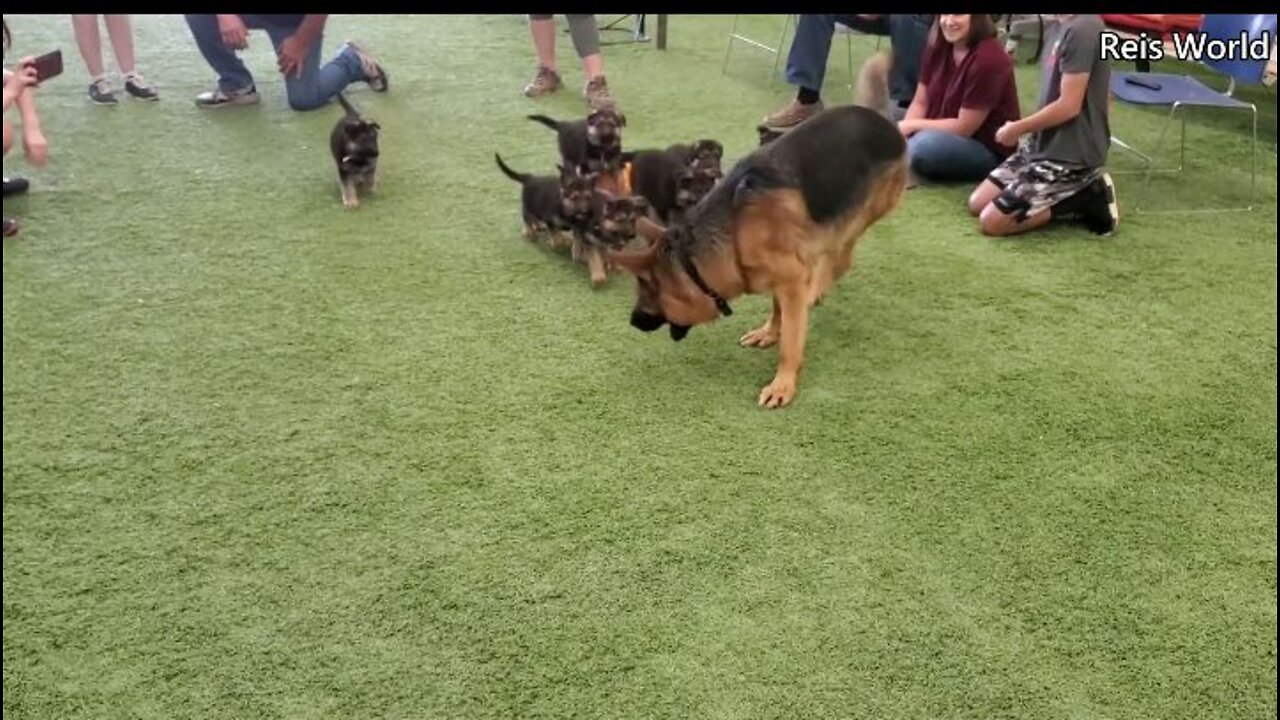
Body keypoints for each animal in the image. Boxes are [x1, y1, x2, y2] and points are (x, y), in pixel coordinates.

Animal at [609, 106, 911, 409]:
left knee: (840, 260)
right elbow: (778, 310)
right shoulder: (781, 278)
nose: (632, 322)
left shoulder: (790, 282)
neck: (735, 231)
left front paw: (783, 384)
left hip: (848, 222)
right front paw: (769, 333)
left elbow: (790, 343)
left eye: (647, 293)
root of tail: (883, 121)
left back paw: (817, 286)